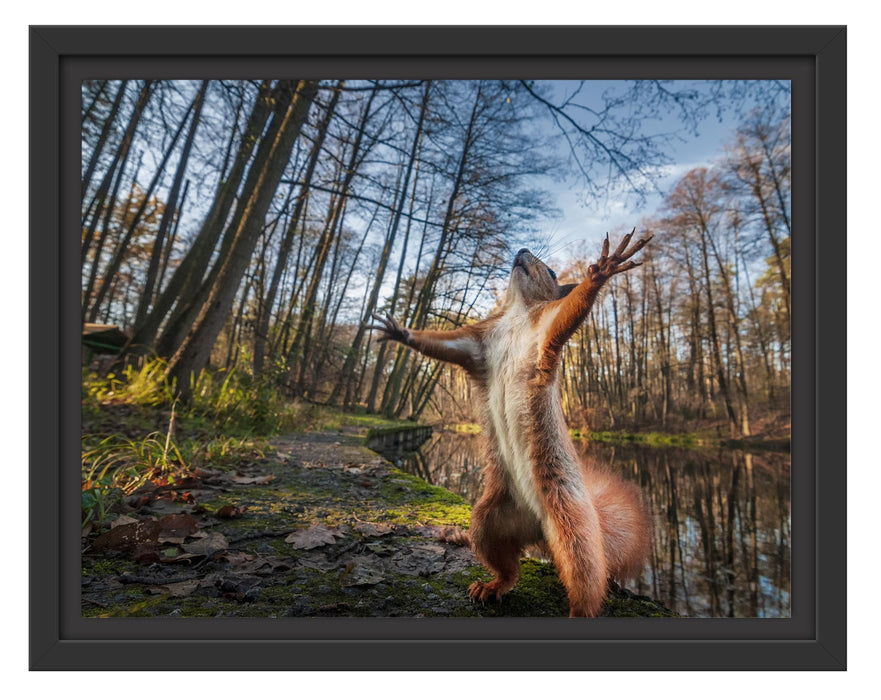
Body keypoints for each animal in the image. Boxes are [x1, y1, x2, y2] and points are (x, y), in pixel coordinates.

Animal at [370, 231, 653, 617]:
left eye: (551, 270)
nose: (521, 250)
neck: (517, 312)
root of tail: (539, 530)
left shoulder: (546, 329)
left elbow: (572, 311)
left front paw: (601, 271)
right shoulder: (477, 344)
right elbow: (441, 345)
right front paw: (401, 332)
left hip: (573, 526)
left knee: (585, 578)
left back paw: (577, 609)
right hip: (489, 520)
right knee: (508, 566)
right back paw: (492, 586)